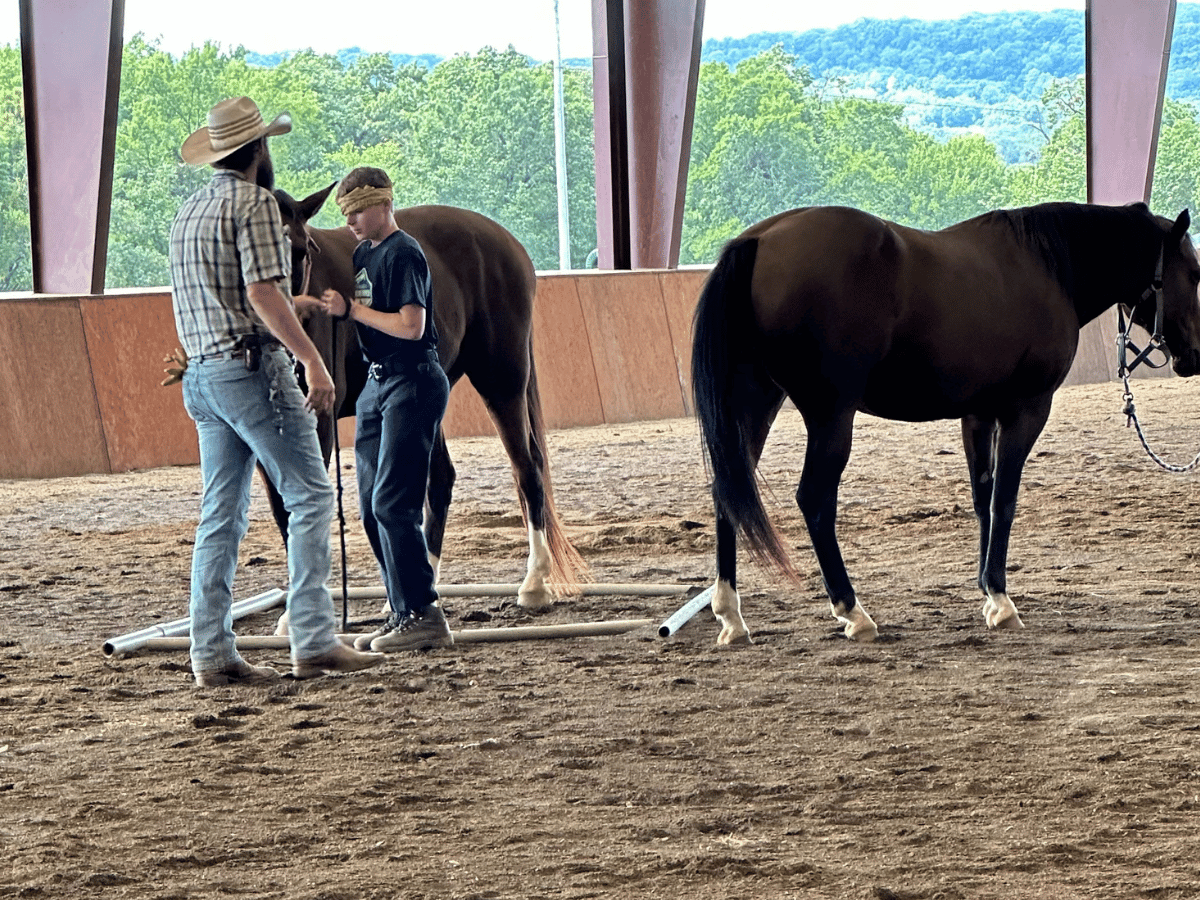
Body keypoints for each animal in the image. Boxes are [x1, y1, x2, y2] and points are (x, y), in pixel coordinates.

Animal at [273, 183, 590, 609]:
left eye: (304, 249)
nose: (292, 332)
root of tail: (508, 243)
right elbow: (283, 511)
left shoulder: (319, 422)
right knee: (440, 480)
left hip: (502, 380)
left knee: (527, 468)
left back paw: (533, 583)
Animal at [691, 200, 1200, 643]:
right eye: (1194, 274)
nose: (1192, 356)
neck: (1047, 265)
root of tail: (758, 240)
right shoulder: (1026, 410)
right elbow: (1005, 500)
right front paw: (1002, 600)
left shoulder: (978, 414)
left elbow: (982, 499)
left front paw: (987, 593)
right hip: (830, 414)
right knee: (814, 500)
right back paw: (853, 611)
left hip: (756, 403)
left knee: (727, 490)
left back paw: (730, 614)